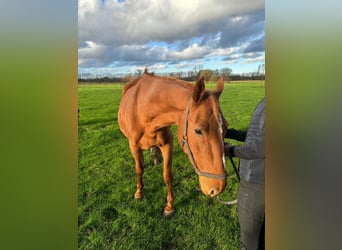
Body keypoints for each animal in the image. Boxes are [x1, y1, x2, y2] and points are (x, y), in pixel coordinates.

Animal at [117, 70, 227, 217]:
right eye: (198, 130)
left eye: (226, 127)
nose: (218, 188)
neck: (144, 110)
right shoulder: (134, 146)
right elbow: (139, 169)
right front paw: (139, 193)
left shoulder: (167, 144)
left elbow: (167, 175)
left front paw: (169, 207)